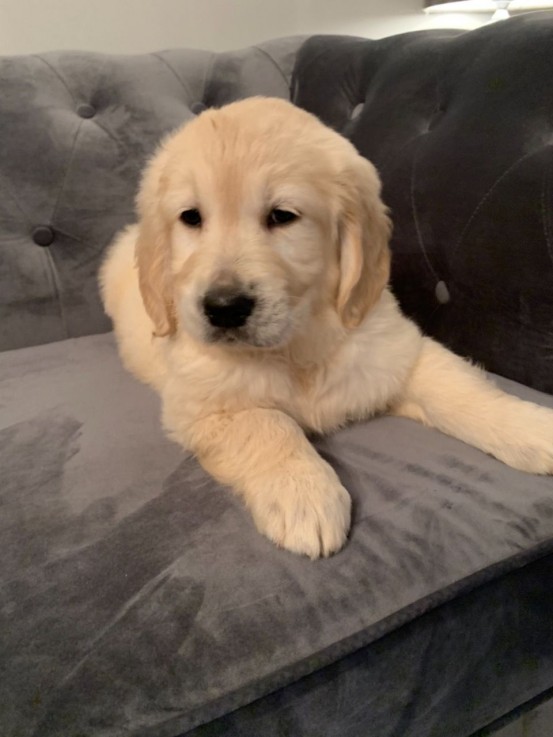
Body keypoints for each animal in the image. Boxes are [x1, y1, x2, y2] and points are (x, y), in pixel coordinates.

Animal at [99, 98, 552, 556]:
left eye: (282, 216)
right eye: (190, 218)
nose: (224, 308)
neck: (295, 346)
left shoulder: (399, 355)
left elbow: (463, 389)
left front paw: (531, 427)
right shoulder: (199, 406)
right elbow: (266, 423)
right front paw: (302, 493)